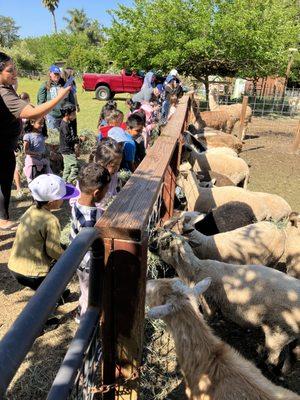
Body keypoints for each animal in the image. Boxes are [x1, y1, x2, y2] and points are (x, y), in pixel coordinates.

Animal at [152, 231, 300, 372]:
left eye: (165, 242)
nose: (151, 244)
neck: (194, 271)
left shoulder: (208, 301)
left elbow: (208, 317)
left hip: (278, 332)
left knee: (273, 357)